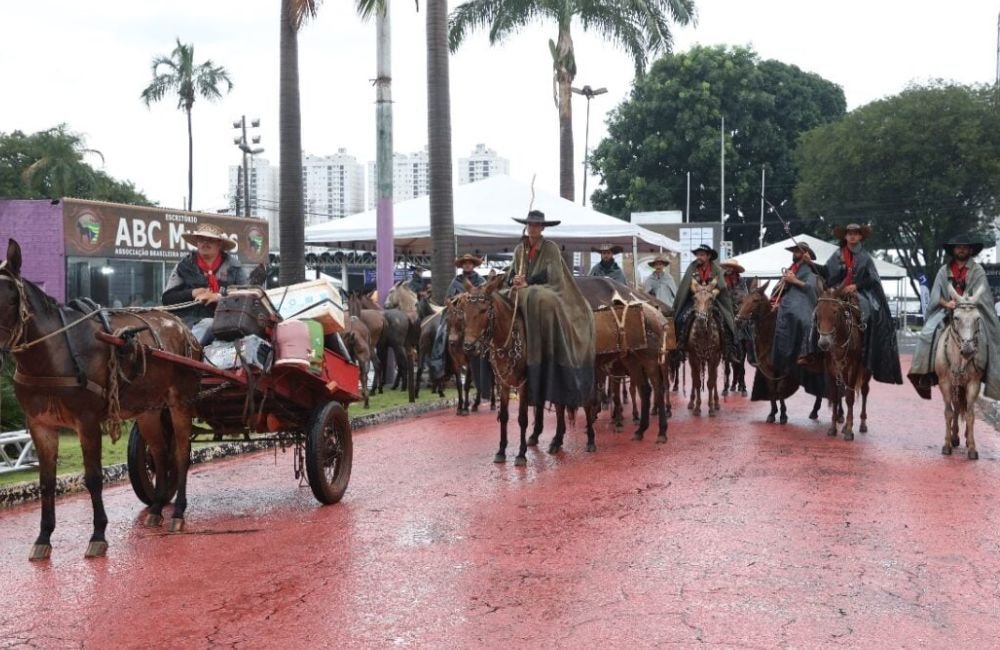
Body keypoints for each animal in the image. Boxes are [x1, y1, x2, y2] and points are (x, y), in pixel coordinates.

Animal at [0, 238, 201, 556]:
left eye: (7, 298)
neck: (53, 353)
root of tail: (182, 328)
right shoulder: (39, 425)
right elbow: (46, 482)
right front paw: (43, 538)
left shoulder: (88, 422)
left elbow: (93, 478)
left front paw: (98, 534)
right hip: (148, 408)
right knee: (159, 453)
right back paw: (157, 507)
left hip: (181, 401)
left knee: (181, 453)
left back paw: (178, 512)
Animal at [816, 290, 872, 438]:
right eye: (817, 312)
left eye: (835, 312)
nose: (824, 343)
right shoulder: (830, 369)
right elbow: (836, 397)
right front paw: (833, 428)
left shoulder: (853, 368)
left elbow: (850, 398)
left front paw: (849, 431)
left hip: (865, 372)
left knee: (864, 391)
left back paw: (862, 424)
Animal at [936, 286, 984, 458]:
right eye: (956, 317)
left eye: (978, 318)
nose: (968, 349)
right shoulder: (945, 383)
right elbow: (949, 412)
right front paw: (947, 444)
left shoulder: (974, 383)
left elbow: (970, 414)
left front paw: (972, 447)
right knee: (956, 408)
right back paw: (954, 437)